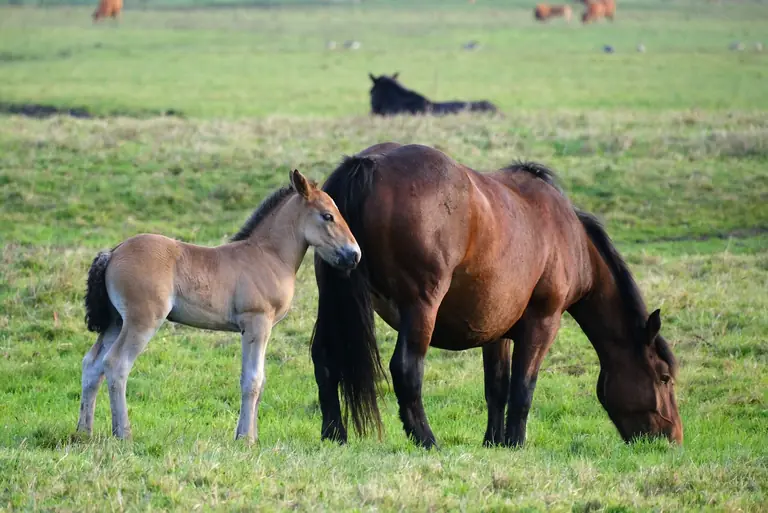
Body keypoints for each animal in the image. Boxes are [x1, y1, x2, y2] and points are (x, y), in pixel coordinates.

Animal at [76, 170, 361, 442]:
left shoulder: (259, 328)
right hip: (142, 320)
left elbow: (260, 380)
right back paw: (123, 433)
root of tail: (113, 253)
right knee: (116, 364)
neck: (268, 255)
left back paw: (83, 432)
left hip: (117, 322)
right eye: (327, 216)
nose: (354, 255)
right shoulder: (257, 323)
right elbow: (252, 380)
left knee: (92, 365)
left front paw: (251, 437)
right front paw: (245, 439)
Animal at [310, 143, 683, 449]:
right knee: (406, 369)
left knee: (324, 358)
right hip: (421, 307)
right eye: (664, 377)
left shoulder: (496, 330)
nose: (673, 438)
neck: (571, 238)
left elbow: (498, 387)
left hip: (333, 301)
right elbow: (523, 388)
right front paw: (515, 443)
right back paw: (427, 439)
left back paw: (334, 434)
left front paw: (494, 441)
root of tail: (368, 163)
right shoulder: (543, 323)